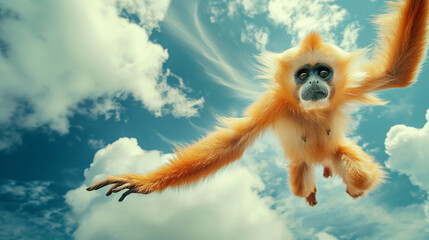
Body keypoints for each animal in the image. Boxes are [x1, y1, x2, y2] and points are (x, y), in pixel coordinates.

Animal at [86, 0, 424, 206]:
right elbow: (233, 142)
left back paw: (347, 184)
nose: (315, 82)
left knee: (359, 174)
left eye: (323, 72)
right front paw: (143, 181)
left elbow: (396, 72)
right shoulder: (274, 104)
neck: (310, 110)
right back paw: (312, 190)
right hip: (300, 164)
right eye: (303, 74)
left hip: (333, 152)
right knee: (301, 182)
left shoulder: (347, 88)